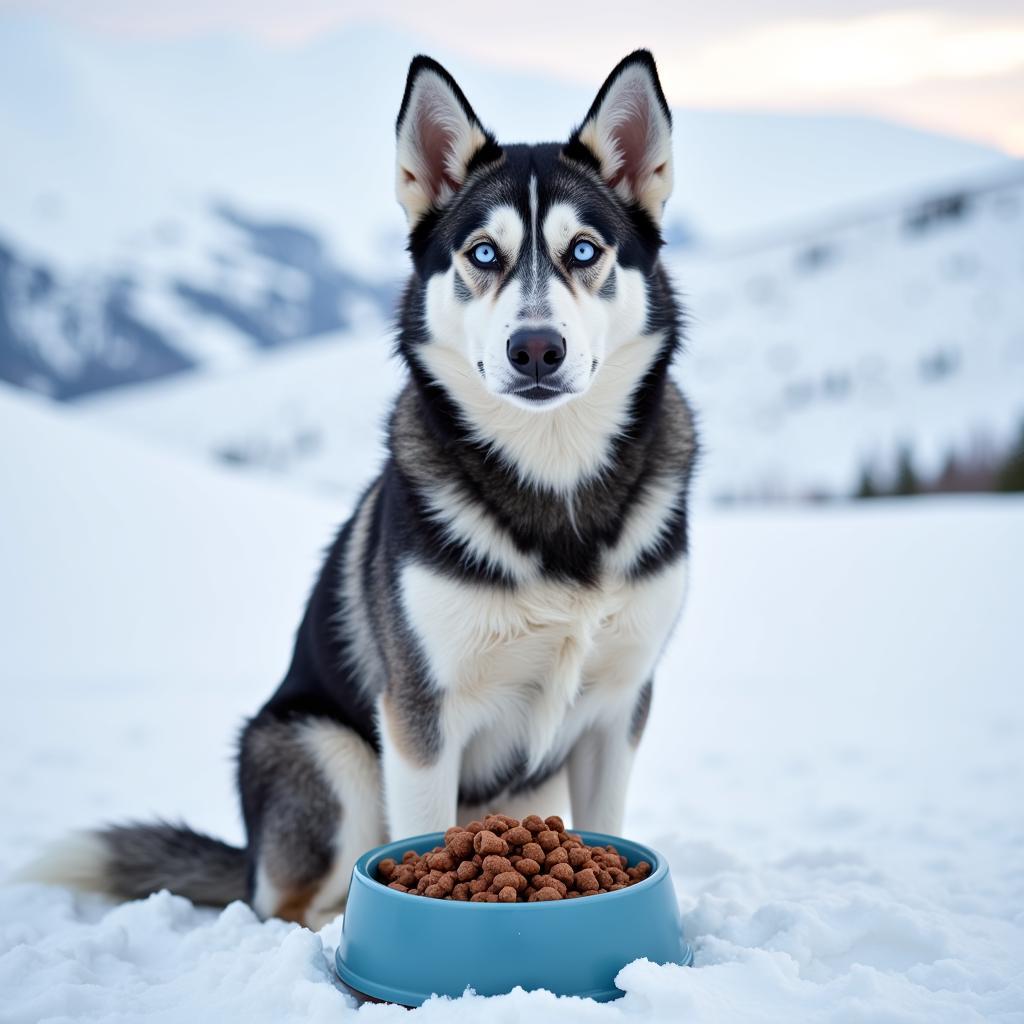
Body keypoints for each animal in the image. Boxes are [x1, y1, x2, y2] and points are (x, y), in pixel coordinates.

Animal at [25, 48, 696, 929]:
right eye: (484, 254)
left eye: (584, 251)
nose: (535, 349)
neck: (553, 485)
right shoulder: (418, 714)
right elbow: (420, 837)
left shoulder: (616, 711)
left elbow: (607, 815)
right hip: (319, 746)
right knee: (288, 904)